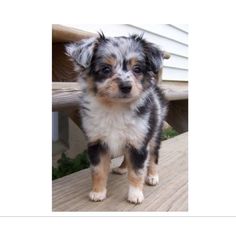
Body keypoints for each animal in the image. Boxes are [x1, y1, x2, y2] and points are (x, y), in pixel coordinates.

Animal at [65, 33, 167, 205]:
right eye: (106, 69)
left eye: (137, 69)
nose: (126, 86)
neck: (115, 107)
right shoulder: (97, 142)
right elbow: (98, 170)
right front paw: (98, 192)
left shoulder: (138, 142)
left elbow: (137, 171)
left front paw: (135, 195)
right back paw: (122, 168)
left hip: (154, 132)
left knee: (154, 155)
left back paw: (153, 176)